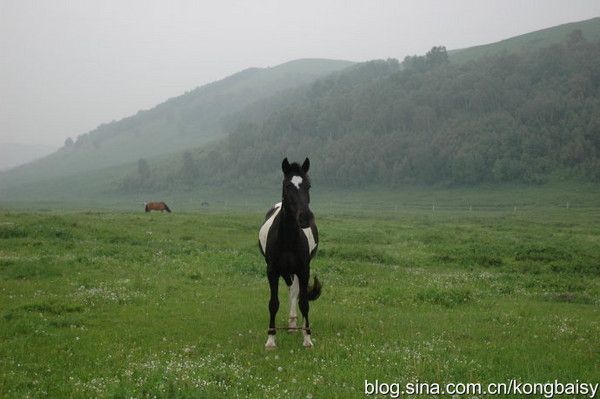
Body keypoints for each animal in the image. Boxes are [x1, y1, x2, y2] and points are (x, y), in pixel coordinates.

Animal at [258, 158, 324, 348]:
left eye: (308, 185)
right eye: (287, 185)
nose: (305, 217)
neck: (287, 239)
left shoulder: (303, 269)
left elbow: (304, 302)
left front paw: (307, 338)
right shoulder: (272, 271)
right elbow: (273, 303)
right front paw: (271, 339)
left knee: (295, 292)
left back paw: (295, 326)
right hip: (286, 271)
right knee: (291, 290)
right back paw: (292, 325)